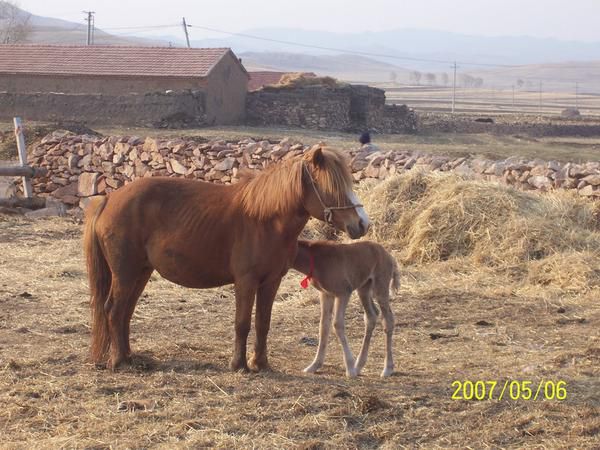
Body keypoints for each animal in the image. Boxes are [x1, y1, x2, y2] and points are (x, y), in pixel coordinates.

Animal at [82, 146, 368, 370]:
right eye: (331, 186)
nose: (362, 223)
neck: (266, 219)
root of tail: (109, 198)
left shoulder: (271, 281)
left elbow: (263, 323)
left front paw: (260, 363)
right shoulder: (246, 281)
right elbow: (242, 323)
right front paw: (239, 364)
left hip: (140, 272)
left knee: (125, 312)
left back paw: (129, 357)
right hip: (125, 273)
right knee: (114, 310)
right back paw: (119, 362)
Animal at [294, 239, 400, 376]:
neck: (317, 260)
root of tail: (390, 256)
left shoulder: (343, 292)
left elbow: (337, 324)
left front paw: (350, 368)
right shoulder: (326, 294)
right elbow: (324, 326)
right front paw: (314, 365)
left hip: (380, 287)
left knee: (388, 320)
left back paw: (387, 368)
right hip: (364, 288)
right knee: (371, 316)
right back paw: (359, 365)